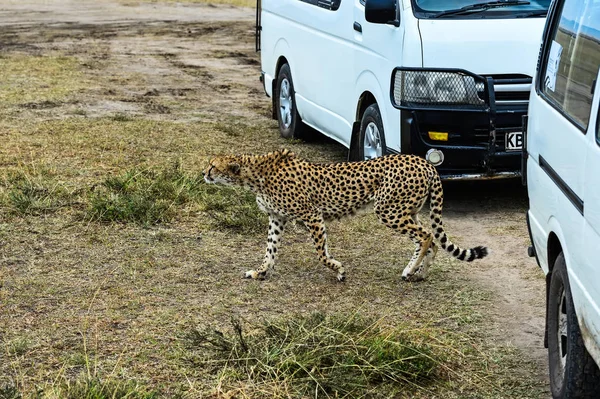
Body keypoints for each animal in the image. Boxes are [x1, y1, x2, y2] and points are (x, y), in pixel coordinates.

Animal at [202, 148, 488, 282]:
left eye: (213, 166)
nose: (203, 173)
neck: (255, 175)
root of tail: (425, 162)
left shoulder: (312, 215)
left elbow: (321, 253)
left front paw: (338, 270)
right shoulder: (277, 218)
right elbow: (270, 250)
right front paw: (260, 273)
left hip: (388, 210)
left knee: (428, 235)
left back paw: (412, 270)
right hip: (408, 211)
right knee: (429, 239)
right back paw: (419, 272)